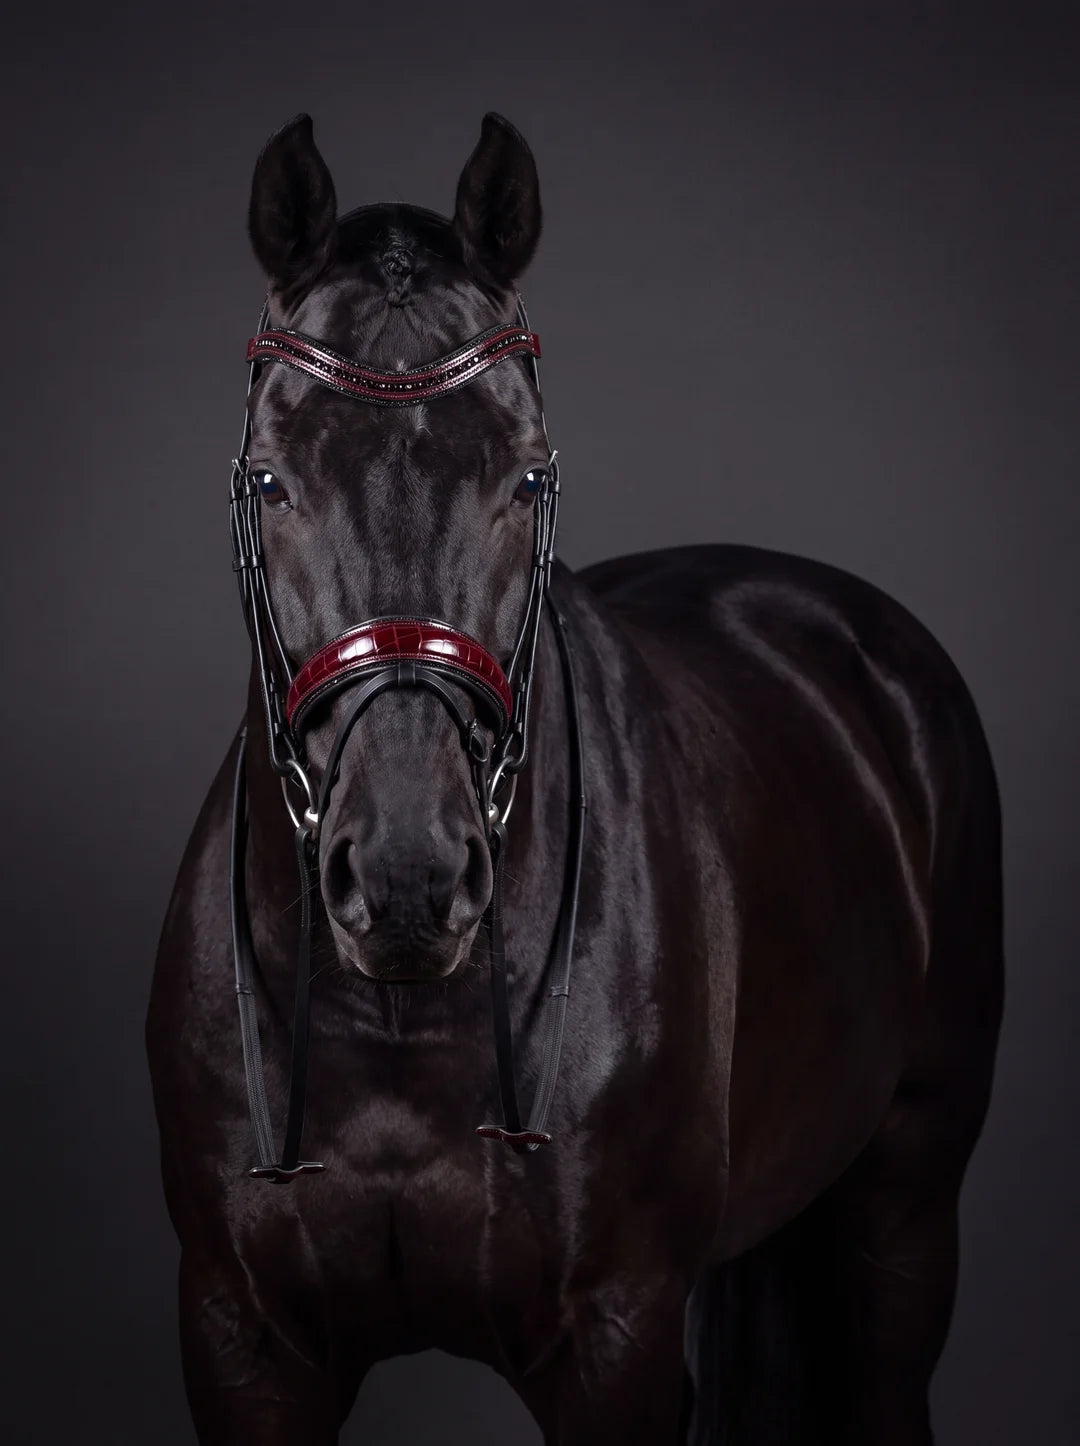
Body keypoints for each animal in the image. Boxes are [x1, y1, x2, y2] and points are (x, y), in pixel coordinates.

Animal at [147, 112, 1003, 1445]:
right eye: (272, 478)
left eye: (528, 475)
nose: (407, 877)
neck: (397, 1022)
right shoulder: (245, 1342)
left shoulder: (616, 1338)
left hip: (904, 1204)